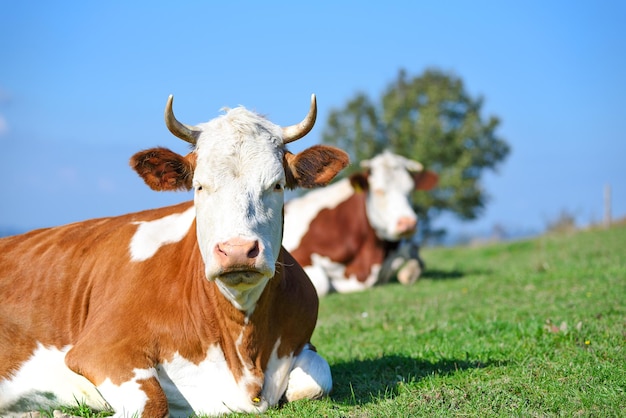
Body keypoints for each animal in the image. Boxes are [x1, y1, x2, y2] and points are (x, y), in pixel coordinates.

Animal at [0, 95, 346, 418]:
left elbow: (317, 379)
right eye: (200, 186)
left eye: (276, 185)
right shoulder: (100, 348)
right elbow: (152, 402)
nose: (237, 250)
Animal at [280, 152, 436, 296]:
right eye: (378, 191)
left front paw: (409, 273)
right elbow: (321, 284)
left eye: (410, 190)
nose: (408, 223)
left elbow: (414, 252)